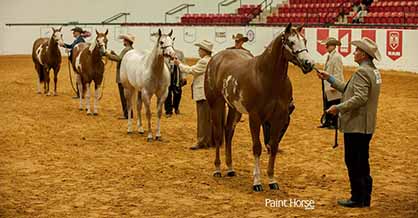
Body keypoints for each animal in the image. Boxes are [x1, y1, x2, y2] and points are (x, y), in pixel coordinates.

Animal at [204, 23, 316, 192]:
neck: (266, 77)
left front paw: (272, 179)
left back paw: (230, 168)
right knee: (218, 135)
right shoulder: (255, 117)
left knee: (228, 132)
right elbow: (257, 147)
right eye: (291, 42)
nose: (309, 64)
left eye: (305, 40)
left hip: (234, 109)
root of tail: (216, 58)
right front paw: (257, 182)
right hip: (216, 104)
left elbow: (273, 146)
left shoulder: (279, 117)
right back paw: (217, 169)